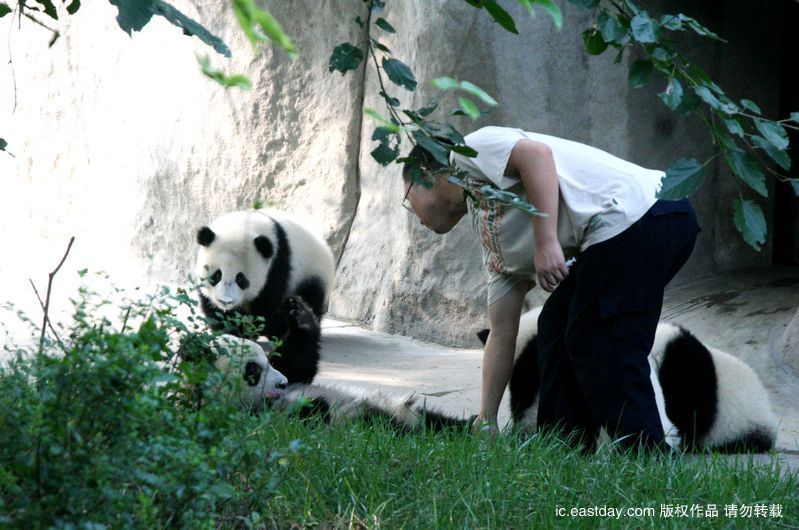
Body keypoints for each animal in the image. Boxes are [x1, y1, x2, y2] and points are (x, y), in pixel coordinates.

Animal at [195, 207, 336, 384]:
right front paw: (230, 330)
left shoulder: (278, 265)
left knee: (310, 298)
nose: (225, 301)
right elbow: (214, 309)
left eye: (241, 279)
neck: (246, 224)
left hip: (312, 272)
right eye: (216, 275)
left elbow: (266, 307)